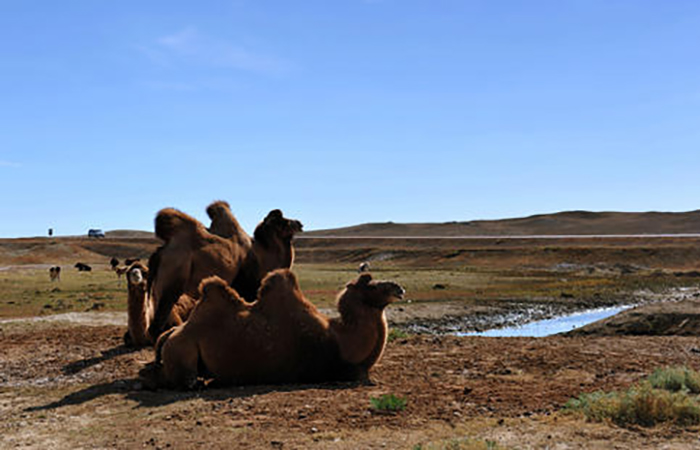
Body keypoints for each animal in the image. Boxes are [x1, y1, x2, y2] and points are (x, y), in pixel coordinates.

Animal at [141, 270, 404, 390]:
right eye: (371, 284)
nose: (398, 288)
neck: (344, 341)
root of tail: (170, 335)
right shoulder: (339, 369)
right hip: (182, 352)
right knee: (186, 381)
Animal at [148, 202, 300, 340]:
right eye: (283, 221)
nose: (299, 223)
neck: (262, 256)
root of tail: (161, 252)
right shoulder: (246, 290)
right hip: (172, 284)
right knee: (157, 325)